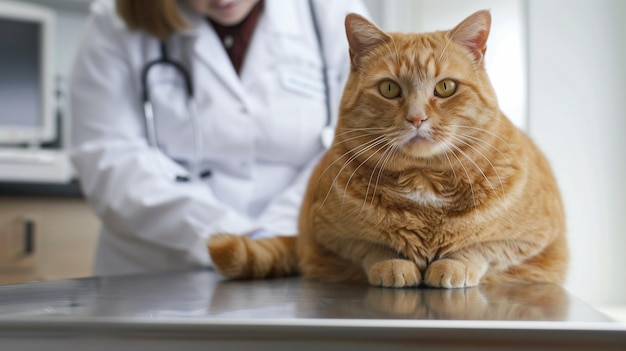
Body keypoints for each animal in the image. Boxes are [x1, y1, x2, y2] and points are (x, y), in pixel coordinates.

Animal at [208, 10, 564, 288]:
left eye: (445, 87)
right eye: (389, 88)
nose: (417, 118)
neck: (424, 182)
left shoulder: (531, 239)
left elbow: (482, 249)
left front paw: (453, 265)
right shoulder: (330, 237)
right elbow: (371, 247)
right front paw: (394, 265)